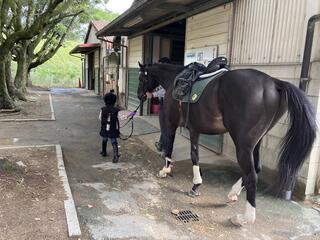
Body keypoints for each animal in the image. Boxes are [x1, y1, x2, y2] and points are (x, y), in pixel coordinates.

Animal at [137, 62, 316, 227]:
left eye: (142, 78)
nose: (140, 95)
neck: (174, 79)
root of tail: (274, 82)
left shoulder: (171, 123)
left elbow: (172, 146)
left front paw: (166, 171)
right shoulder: (195, 129)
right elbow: (195, 155)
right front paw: (196, 184)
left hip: (243, 146)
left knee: (251, 176)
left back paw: (244, 218)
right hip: (256, 143)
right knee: (257, 168)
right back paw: (233, 193)